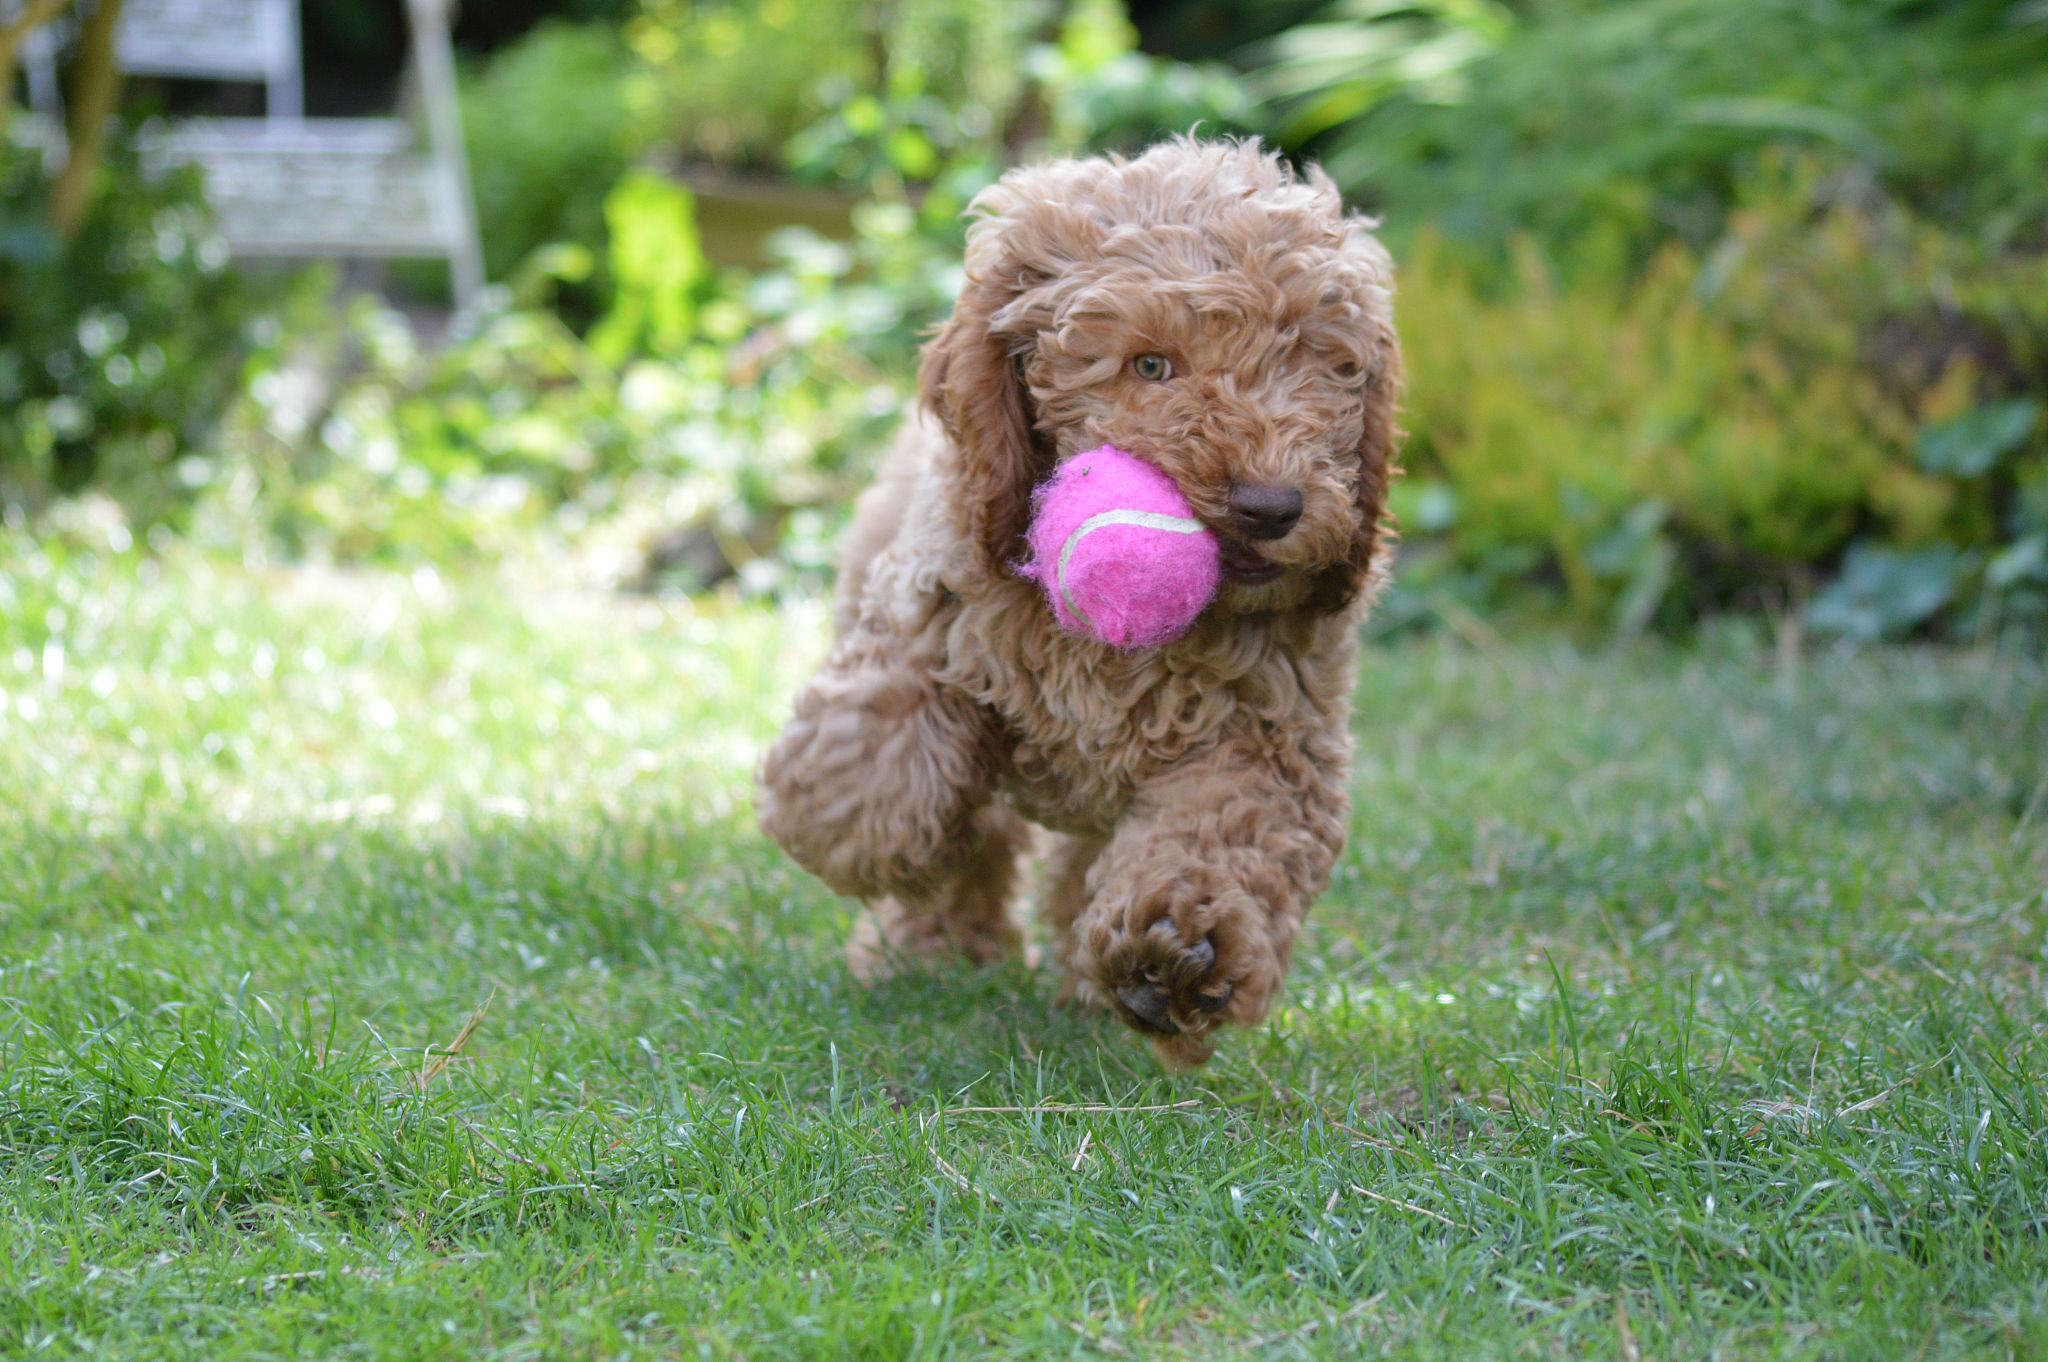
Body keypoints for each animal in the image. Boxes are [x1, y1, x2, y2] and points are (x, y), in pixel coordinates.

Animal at [761, 140, 1400, 1073]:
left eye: (1319, 364)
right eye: (1151, 365)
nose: (1271, 507)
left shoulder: (1270, 739)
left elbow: (1222, 834)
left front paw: (1182, 947)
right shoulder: (927, 621)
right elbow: (871, 766)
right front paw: (905, 849)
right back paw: (934, 945)